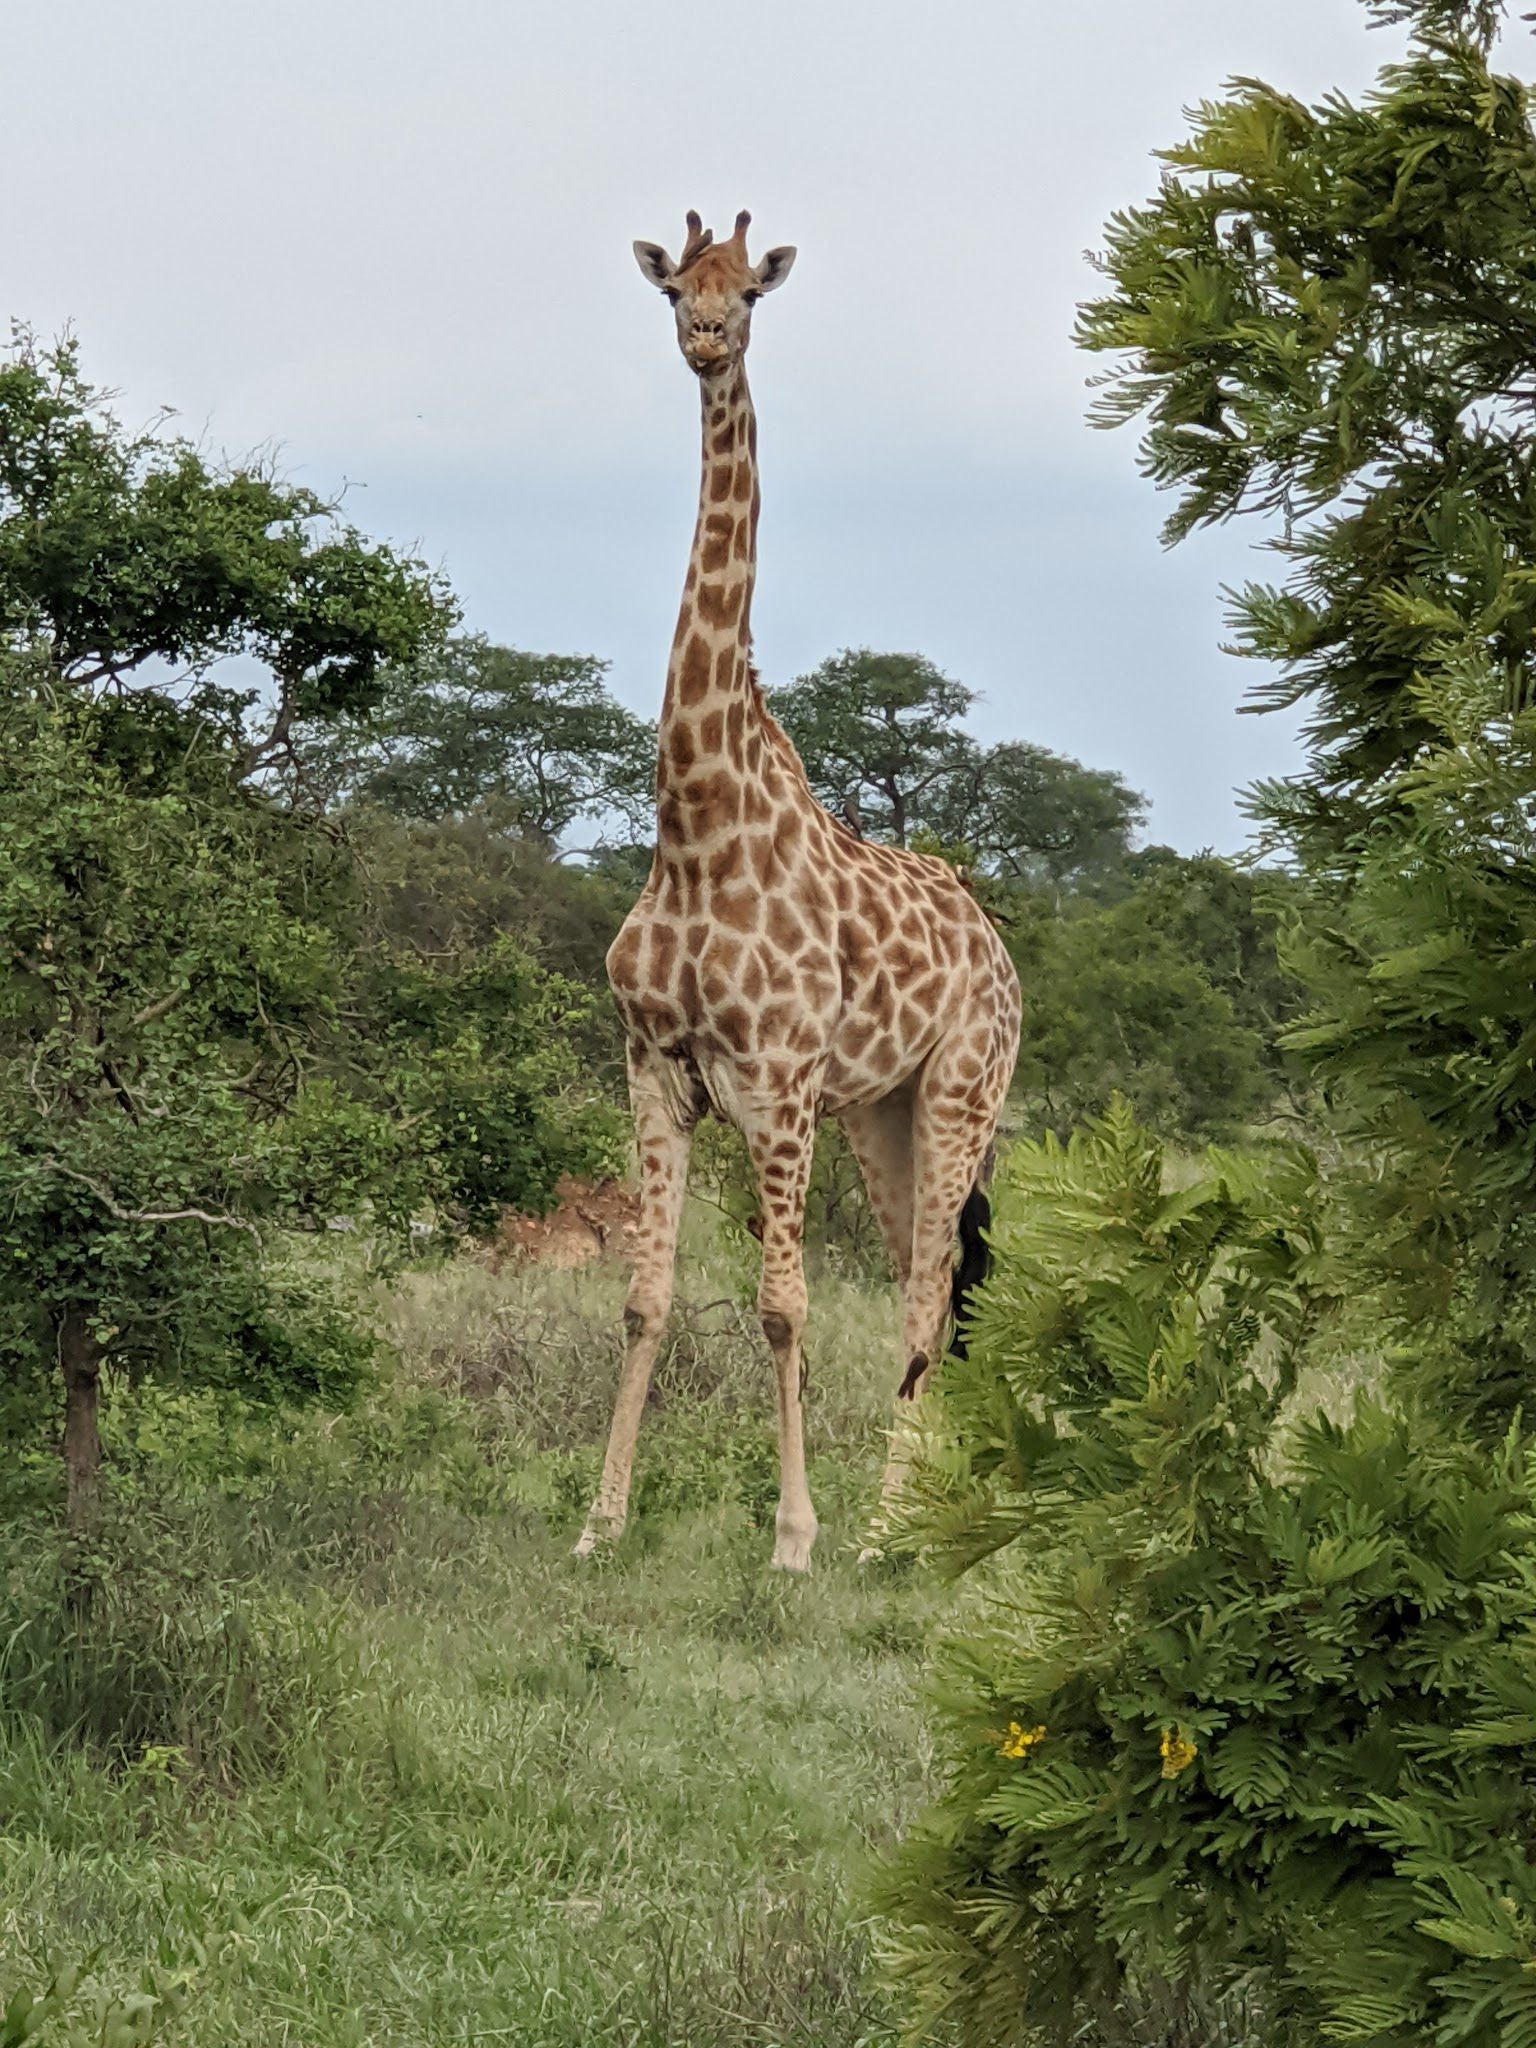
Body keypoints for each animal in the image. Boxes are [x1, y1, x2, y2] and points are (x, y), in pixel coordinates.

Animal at [577, 211, 1024, 1564]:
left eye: (751, 294)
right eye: (676, 286)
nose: (706, 339)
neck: (695, 824)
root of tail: (1000, 947)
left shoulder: (777, 1084)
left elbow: (783, 1303)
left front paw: (792, 1534)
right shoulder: (652, 1067)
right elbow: (644, 1296)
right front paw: (600, 1522)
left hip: (964, 1091)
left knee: (928, 1296)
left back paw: (882, 1534)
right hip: (884, 1112)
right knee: (933, 1288)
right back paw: (911, 1518)